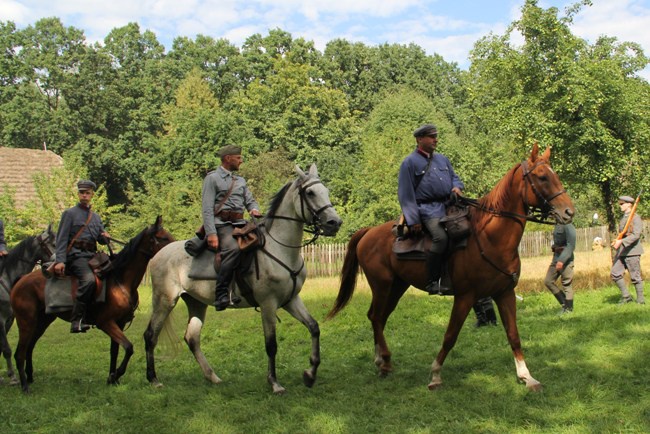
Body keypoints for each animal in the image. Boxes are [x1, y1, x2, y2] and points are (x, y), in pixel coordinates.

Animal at [11, 215, 172, 392]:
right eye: (163, 237)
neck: (120, 280)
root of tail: (21, 281)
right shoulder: (106, 323)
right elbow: (129, 348)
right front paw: (116, 375)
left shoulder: (119, 323)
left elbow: (115, 350)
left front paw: (112, 379)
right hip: (26, 323)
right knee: (19, 353)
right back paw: (25, 386)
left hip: (42, 322)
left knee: (29, 347)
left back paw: (30, 377)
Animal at [330, 145, 572, 390]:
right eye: (542, 177)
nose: (569, 211)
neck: (490, 238)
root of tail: (368, 232)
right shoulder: (465, 297)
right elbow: (450, 335)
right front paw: (436, 374)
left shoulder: (504, 293)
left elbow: (513, 334)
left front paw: (526, 376)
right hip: (382, 286)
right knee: (377, 317)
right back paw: (385, 361)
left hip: (397, 287)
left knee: (378, 317)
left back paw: (380, 360)